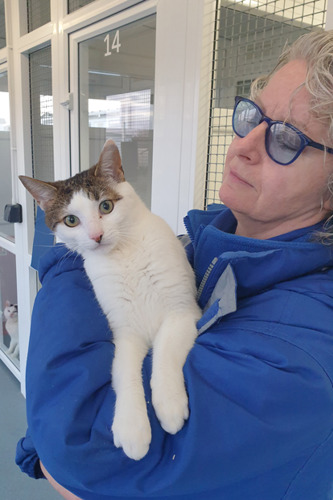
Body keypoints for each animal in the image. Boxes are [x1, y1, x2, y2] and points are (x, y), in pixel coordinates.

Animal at [21, 140, 202, 460]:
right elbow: (124, 370)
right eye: (71, 220)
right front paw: (132, 427)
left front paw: (168, 403)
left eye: (106, 206)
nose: (96, 236)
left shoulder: (182, 312)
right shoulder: (125, 332)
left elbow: (165, 351)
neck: (124, 255)